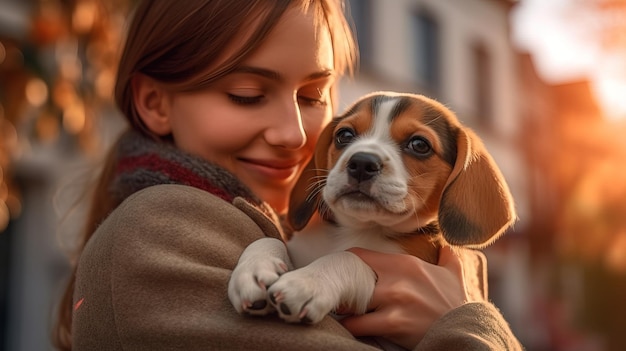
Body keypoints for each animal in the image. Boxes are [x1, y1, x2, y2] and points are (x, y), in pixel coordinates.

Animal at [227, 91, 516, 328]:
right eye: (344, 135)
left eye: (419, 144)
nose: (362, 163)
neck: (359, 229)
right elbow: (269, 240)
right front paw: (255, 270)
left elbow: (348, 258)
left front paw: (307, 282)